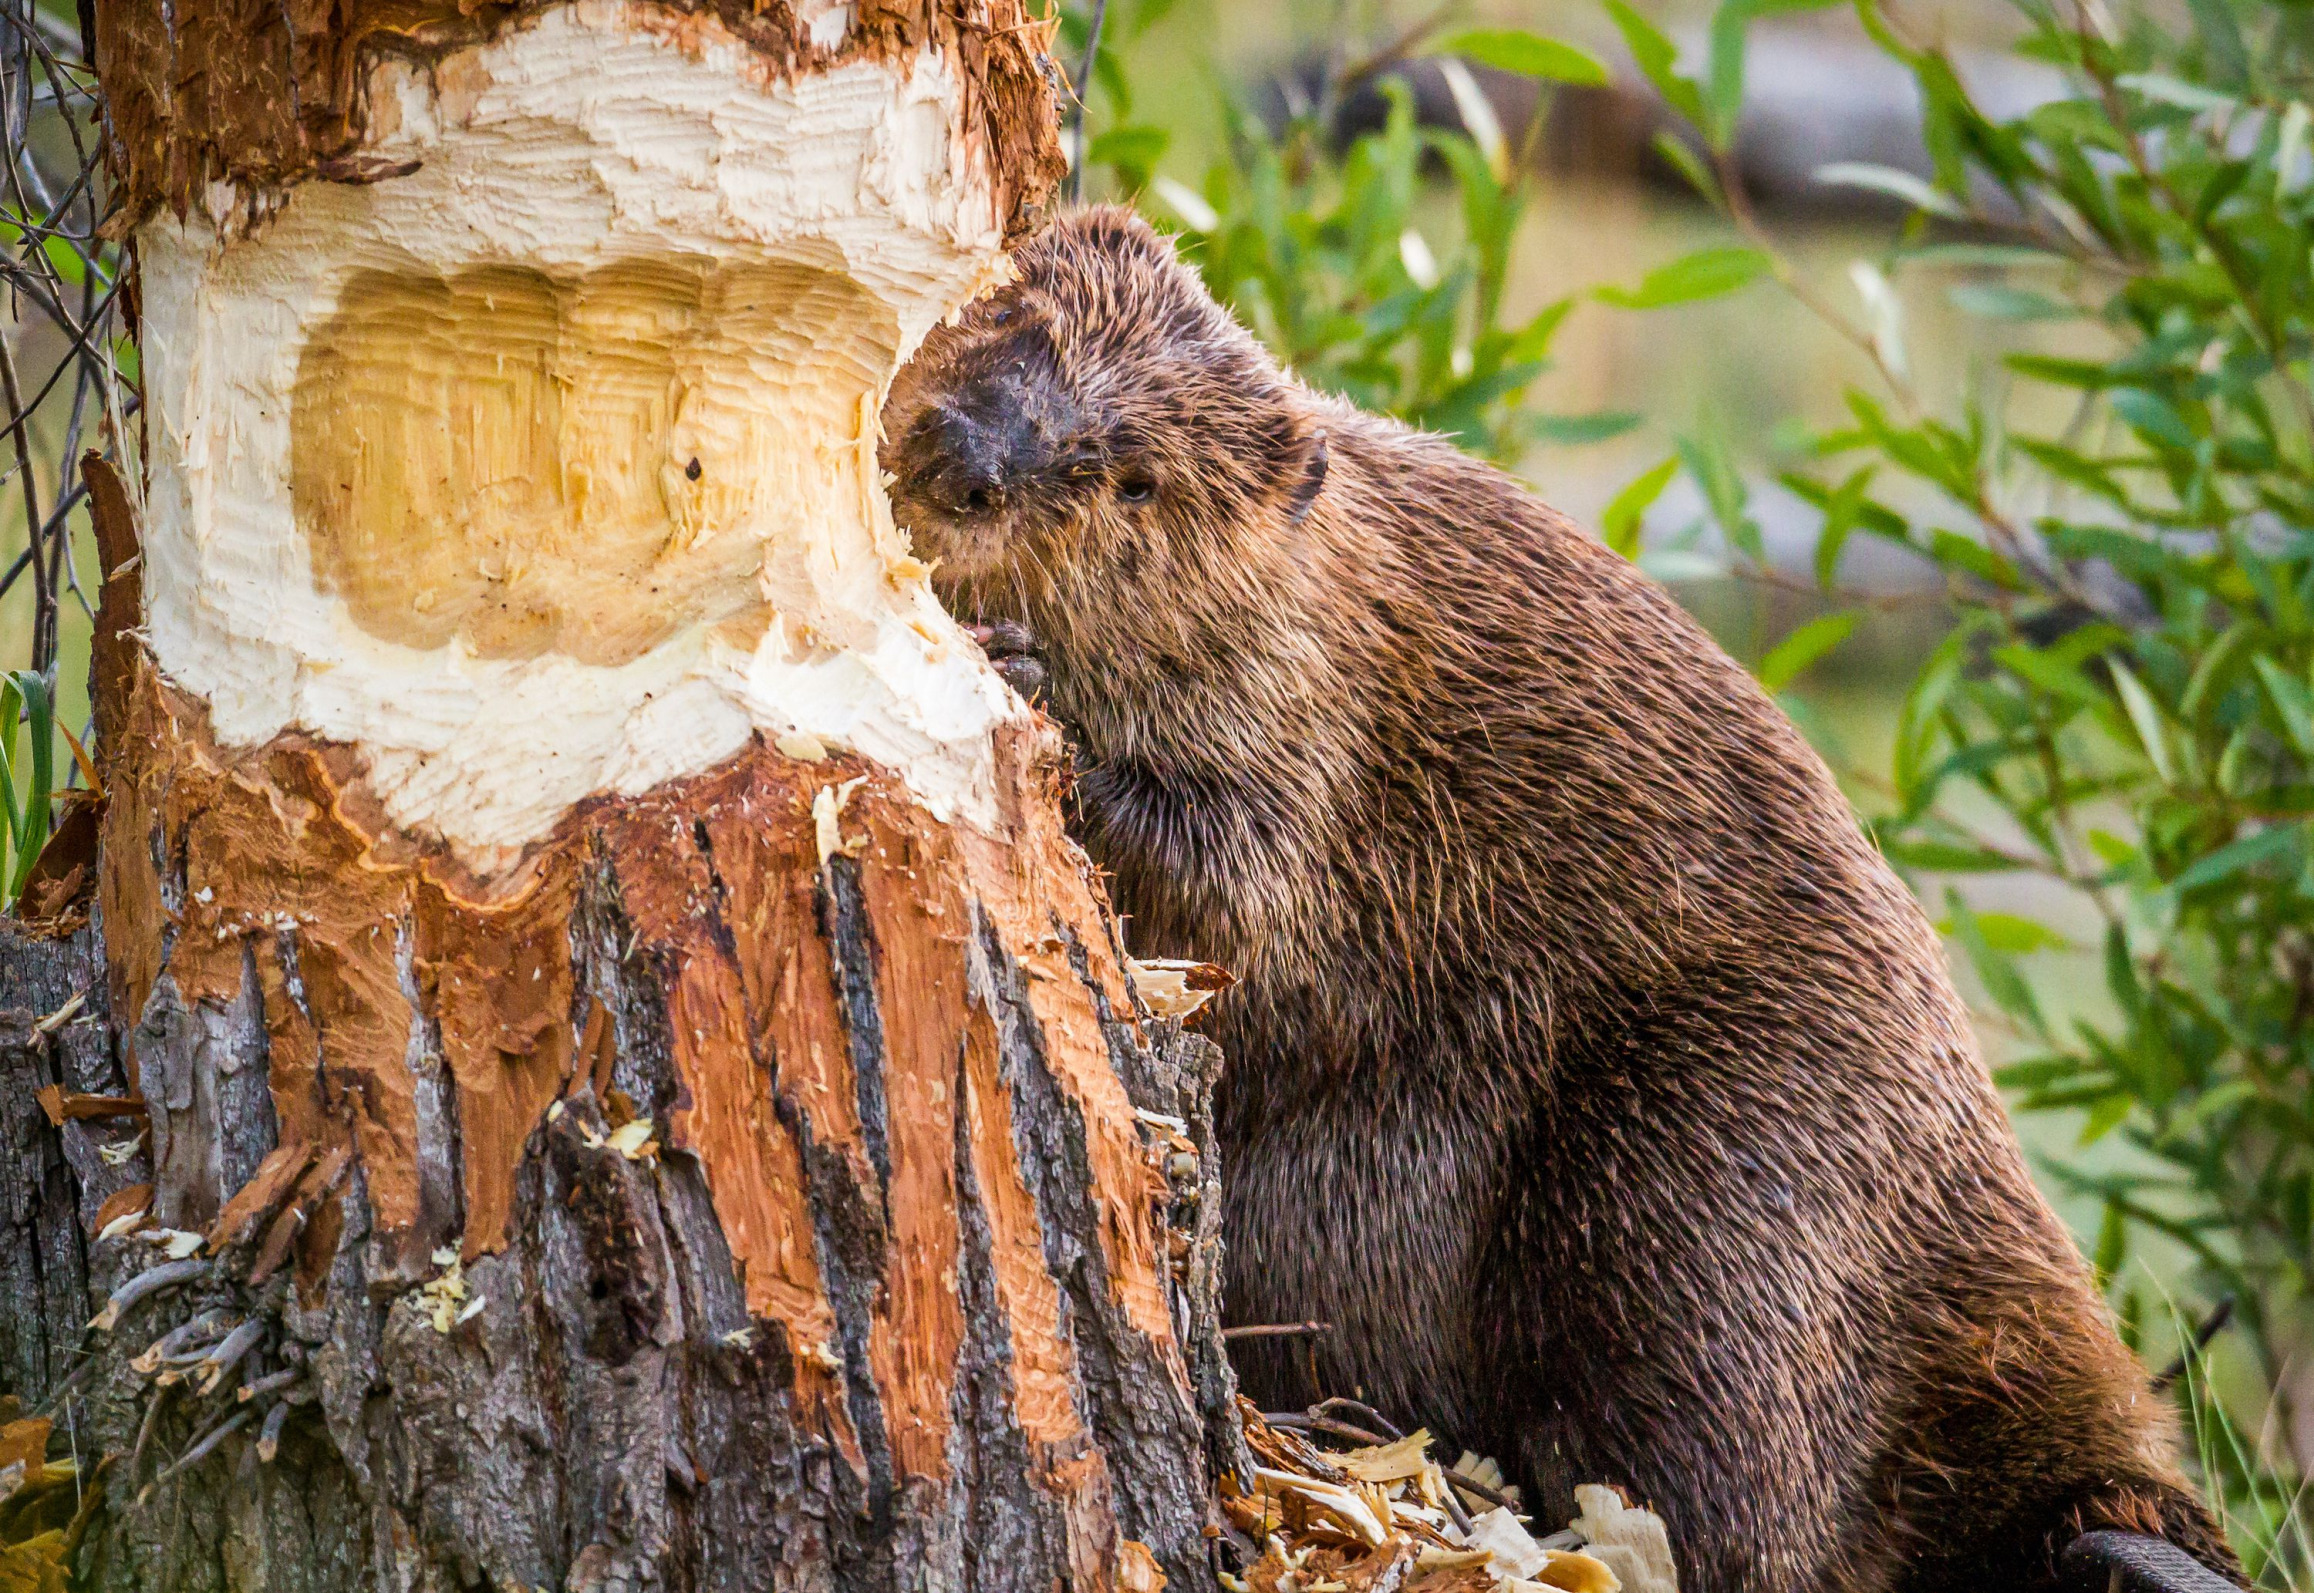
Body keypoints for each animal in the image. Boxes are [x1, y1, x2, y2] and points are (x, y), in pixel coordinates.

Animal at [874, 208, 2230, 1593]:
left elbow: (1243, 894)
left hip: (1708, 1169)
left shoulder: (1319, 713)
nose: (966, 459)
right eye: (1011, 316)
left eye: (1136, 477)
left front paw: (1026, 679)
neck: (1326, 576)